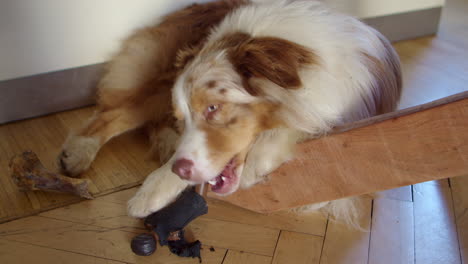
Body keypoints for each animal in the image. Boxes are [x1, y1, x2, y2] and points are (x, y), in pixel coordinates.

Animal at [59, 0, 402, 221]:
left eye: (213, 108)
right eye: (185, 117)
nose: (179, 170)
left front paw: (259, 160)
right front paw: (152, 190)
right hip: (160, 80)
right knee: (111, 114)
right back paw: (76, 154)